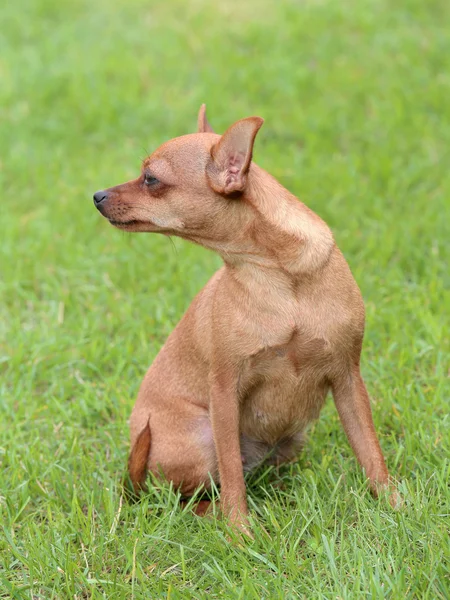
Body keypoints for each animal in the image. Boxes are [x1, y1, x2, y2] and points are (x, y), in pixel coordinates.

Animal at [94, 105, 398, 532]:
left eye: (150, 179)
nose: (97, 195)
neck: (276, 274)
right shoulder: (224, 392)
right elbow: (232, 479)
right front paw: (240, 532)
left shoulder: (348, 378)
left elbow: (371, 453)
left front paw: (395, 507)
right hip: (202, 436)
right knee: (187, 496)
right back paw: (217, 514)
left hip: (291, 438)